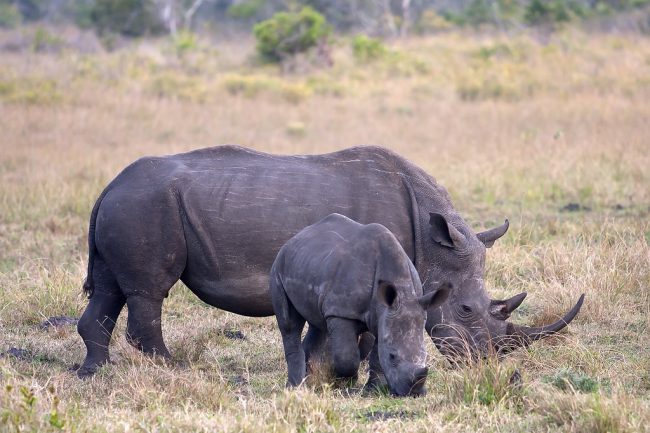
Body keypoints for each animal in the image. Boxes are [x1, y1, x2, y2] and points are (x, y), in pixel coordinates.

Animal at [76, 145, 584, 374]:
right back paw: (175, 368)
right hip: (145, 206)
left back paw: (95, 373)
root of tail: (108, 187)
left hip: (131, 204)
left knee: (109, 289)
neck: (430, 241)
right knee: (148, 291)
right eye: (464, 309)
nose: (482, 363)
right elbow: (371, 330)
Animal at [270, 213, 448, 394]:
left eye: (425, 355)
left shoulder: (381, 314)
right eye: (392, 356)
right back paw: (294, 387)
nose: (415, 393)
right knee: (290, 325)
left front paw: (374, 389)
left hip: (311, 263)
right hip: (278, 267)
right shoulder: (341, 311)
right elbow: (347, 357)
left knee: (317, 323)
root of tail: (294, 238)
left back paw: (307, 381)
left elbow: (377, 355)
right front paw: (345, 383)